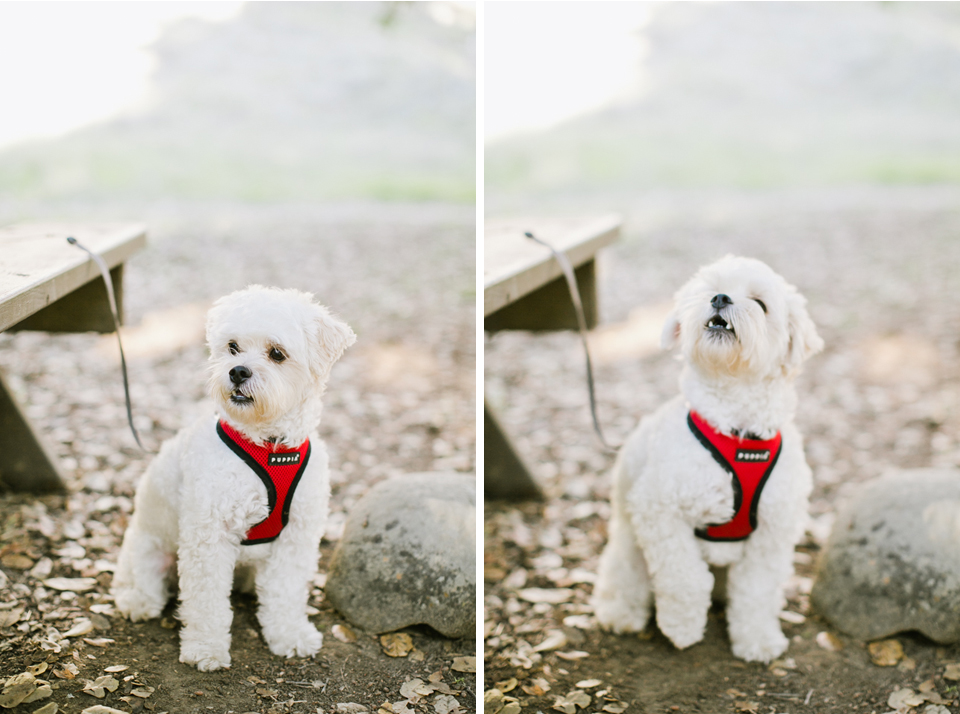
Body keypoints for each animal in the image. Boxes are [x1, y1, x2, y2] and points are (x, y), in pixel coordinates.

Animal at [109, 284, 356, 668]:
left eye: (277, 353)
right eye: (233, 347)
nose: (237, 371)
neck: (270, 447)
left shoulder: (295, 538)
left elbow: (285, 592)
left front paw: (290, 635)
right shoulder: (208, 537)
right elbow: (206, 601)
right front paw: (205, 647)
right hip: (147, 549)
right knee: (137, 583)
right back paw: (137, 601)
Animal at [592, 253, 824, 660]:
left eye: (761, 304)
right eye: (710, 288)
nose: (719, 298)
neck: (737, 431)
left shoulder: (773, 532)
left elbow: (757, 591)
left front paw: (757, 639)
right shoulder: (659, 512)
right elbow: (684, 578)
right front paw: (682, 628)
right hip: (629, 545)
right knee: (624, 576)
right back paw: (621, 613)